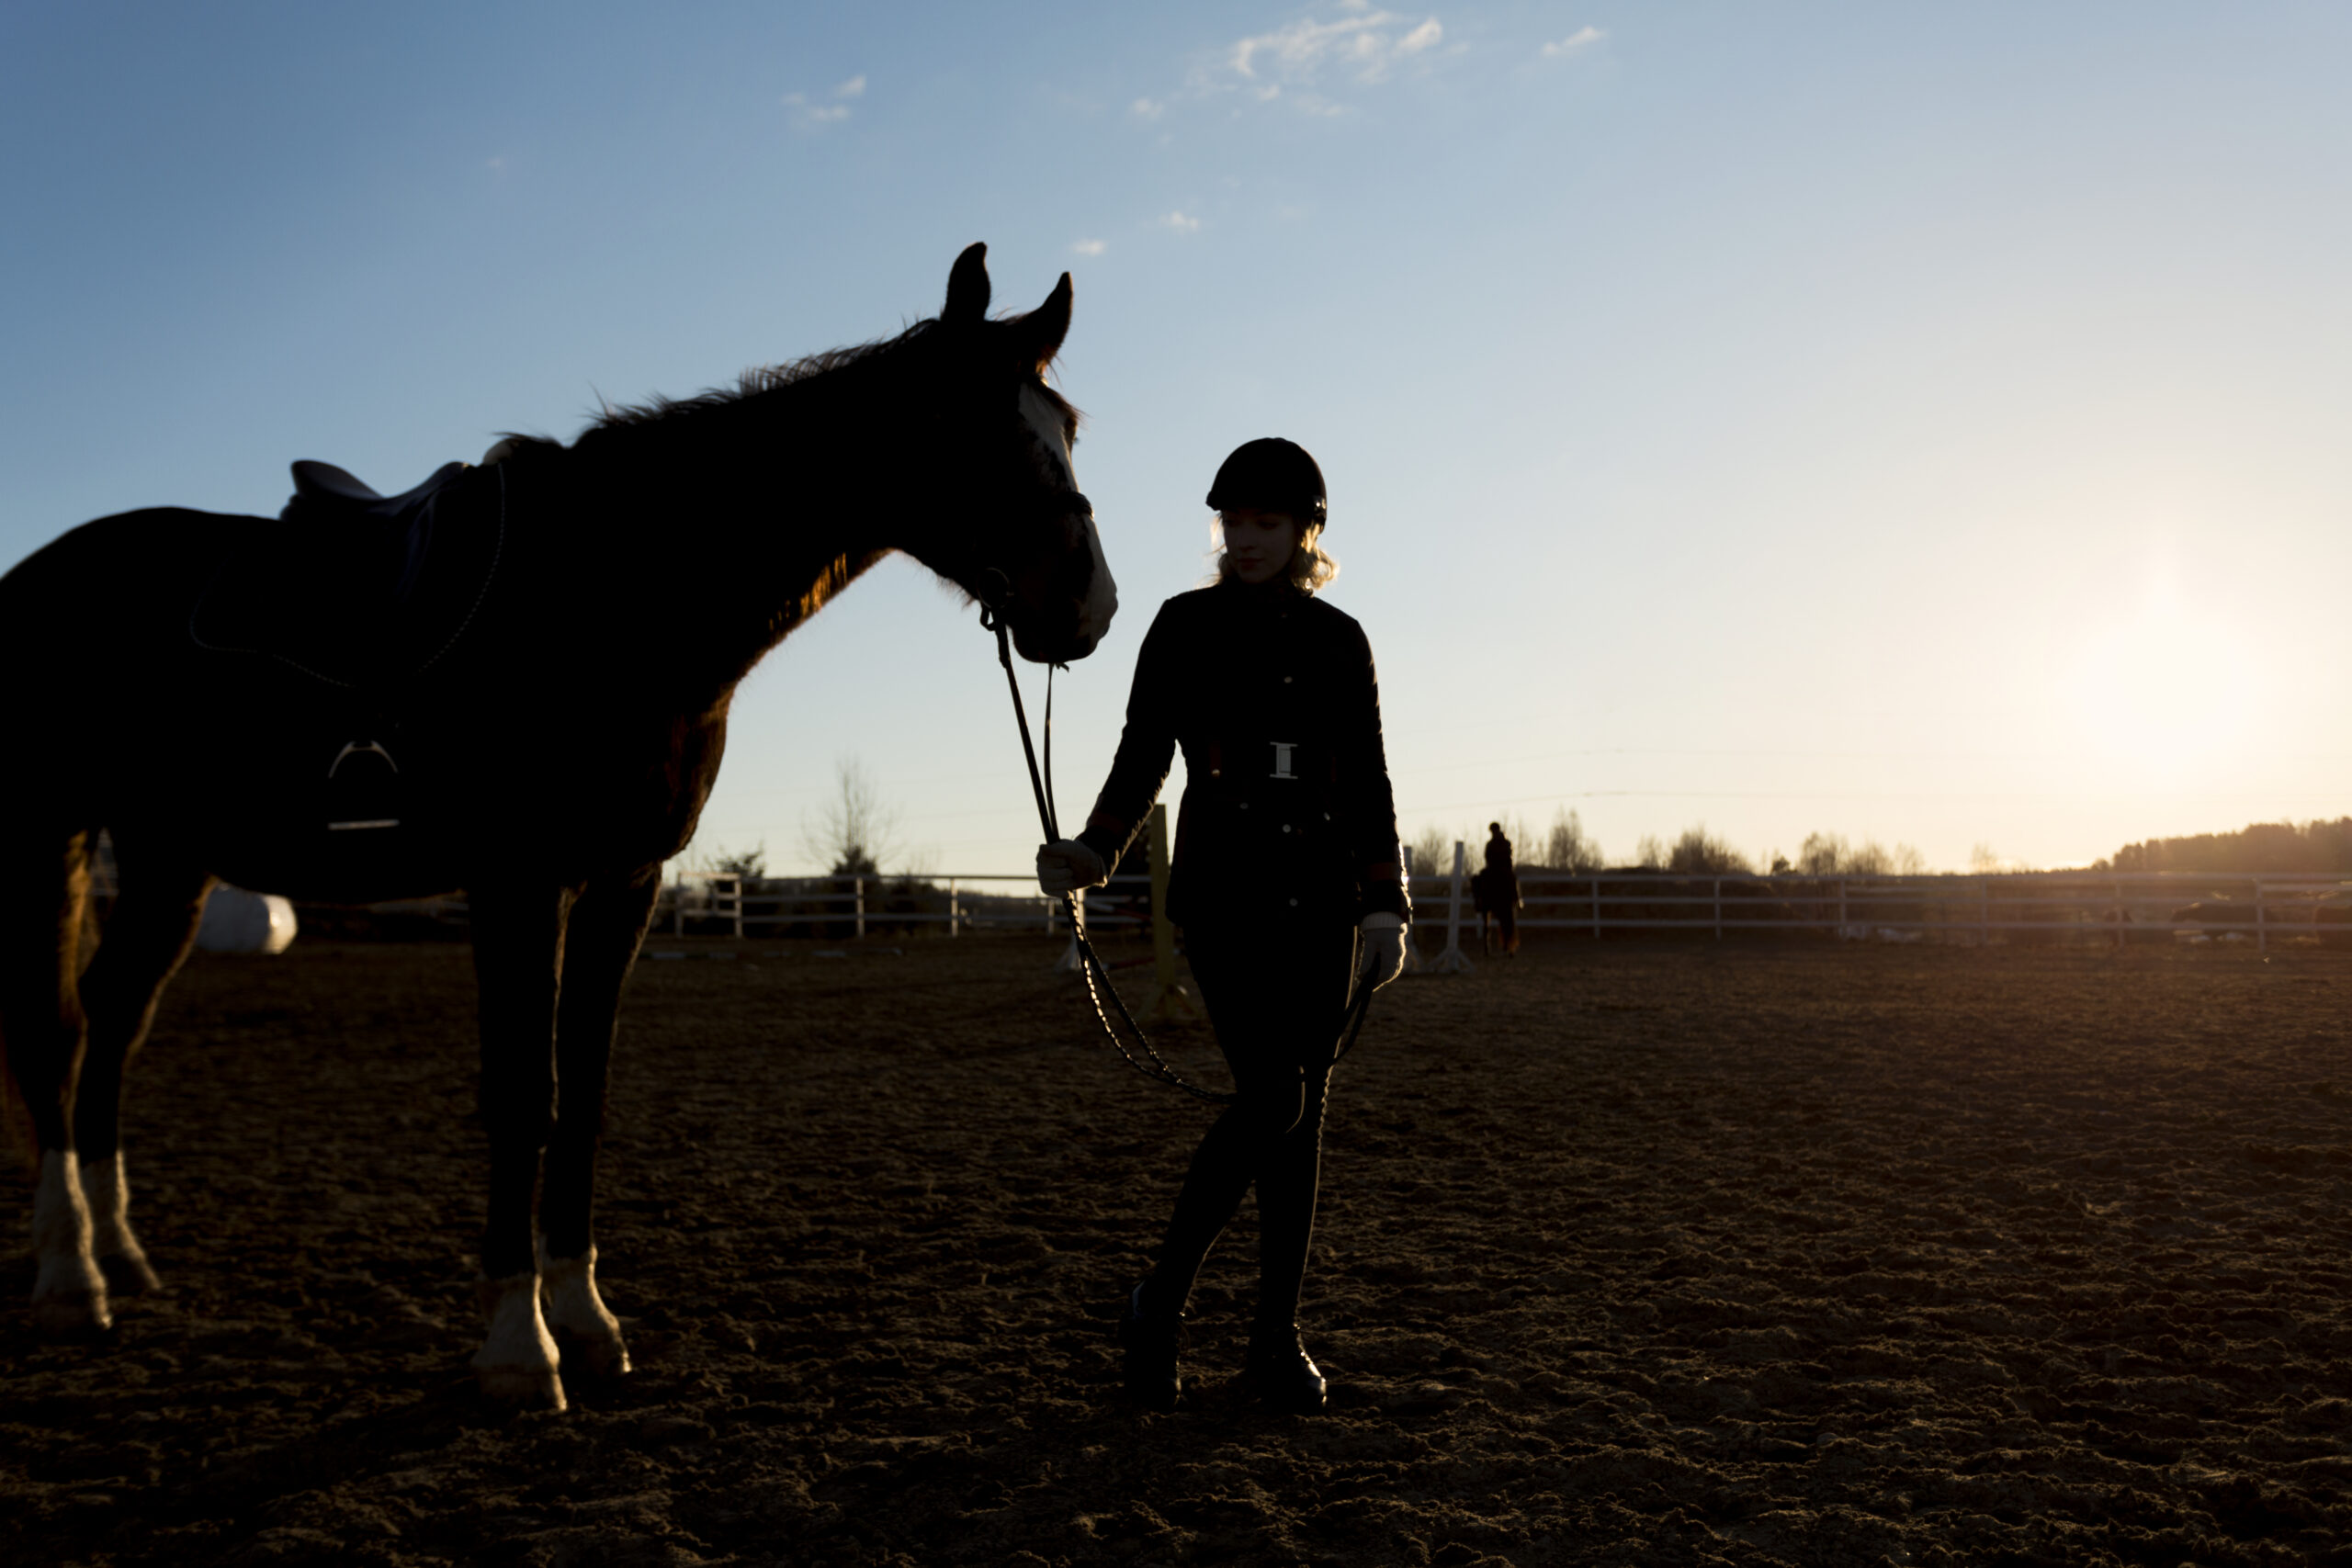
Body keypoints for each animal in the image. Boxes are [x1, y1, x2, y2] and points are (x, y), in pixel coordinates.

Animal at [0, 245, 1119, 1410]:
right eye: (972, 423)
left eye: (1065, 428)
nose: (1088, 605)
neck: (610, 595)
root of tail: (38, 574)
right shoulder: (518, 881)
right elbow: (522, 1097)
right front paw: (515, 1345)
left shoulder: (623, 881)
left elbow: (583, 1092)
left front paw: (585, 1321)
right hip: (48, 834)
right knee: (55, 1030)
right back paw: (72, 1277)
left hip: (170, 862)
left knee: (113, 1024)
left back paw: (120, 1251)